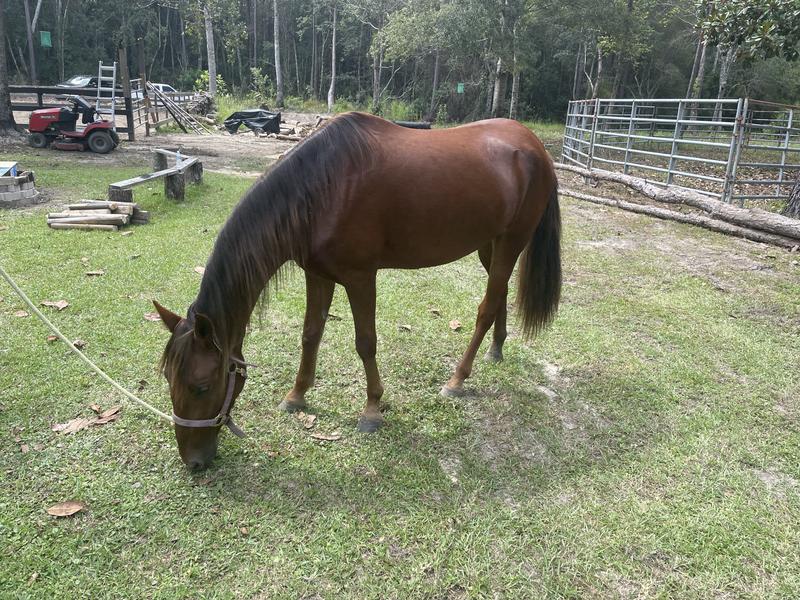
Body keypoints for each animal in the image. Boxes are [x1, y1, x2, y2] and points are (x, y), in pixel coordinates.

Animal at [154, 111, 561, 470]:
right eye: (169, 379)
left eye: (201, 386)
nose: (193, 462)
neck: (323, 186)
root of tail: (535, 146)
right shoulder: (318, 275)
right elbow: (310, 335)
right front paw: (296, 396)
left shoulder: (360, 277)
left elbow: (365, 342)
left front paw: (372, 410)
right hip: (489, 245)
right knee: (499, 295)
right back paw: (496, 350)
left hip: (511, 242)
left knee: (487, 306)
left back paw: (457, 379)